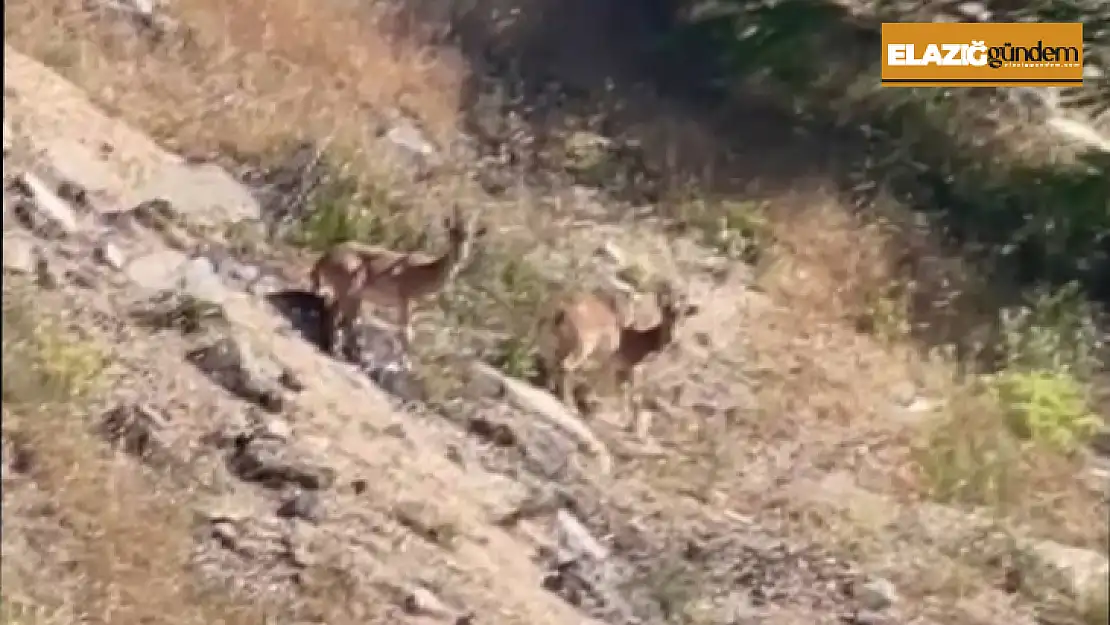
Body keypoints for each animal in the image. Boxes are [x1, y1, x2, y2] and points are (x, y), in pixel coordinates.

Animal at [310, 206, 488, 357]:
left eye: (470, 236)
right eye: (452, 233)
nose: (459, 255)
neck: (427, 272)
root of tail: (325, 257)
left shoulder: (413, 309)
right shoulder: (405, 301)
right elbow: (405, 333)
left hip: (350, 293)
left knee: (336, 312)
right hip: (351, 286)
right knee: (340, 316)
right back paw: (338, 351)